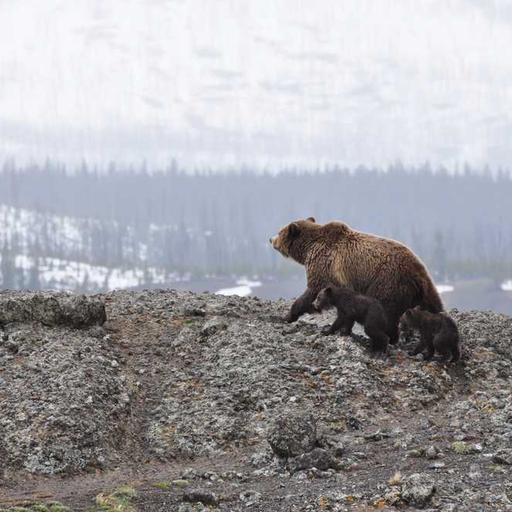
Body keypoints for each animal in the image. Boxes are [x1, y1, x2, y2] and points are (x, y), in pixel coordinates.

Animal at [270, 217, 442, 344]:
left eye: (279, 231)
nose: (270, 238)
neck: (308, 248)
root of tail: (419, 273)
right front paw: (345, 329)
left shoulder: (324, 265)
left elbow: (312, 291)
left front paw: (287, 316)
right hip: (421, 291)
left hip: (388, 282)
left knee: (387, 313)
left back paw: (388, 338)